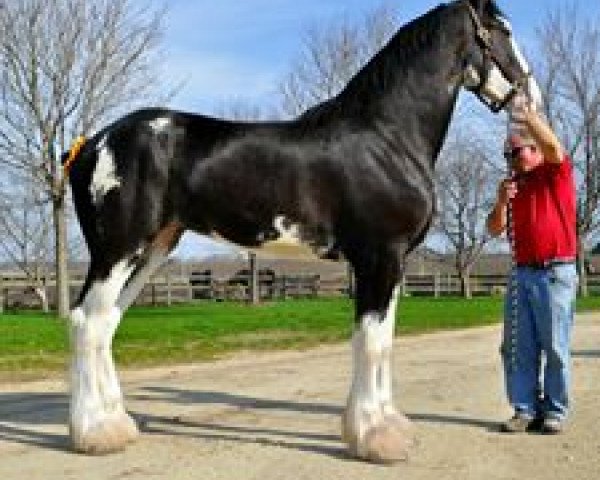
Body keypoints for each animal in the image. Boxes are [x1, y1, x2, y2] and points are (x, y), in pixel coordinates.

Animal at [64, 0, 540, 462]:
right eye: (502, 31)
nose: (531, 97)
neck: (385, 139)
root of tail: (93, 143)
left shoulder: (393, 262)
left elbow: (385, 342)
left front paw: (388, 428)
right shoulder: (379, 257)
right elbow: (371, 342)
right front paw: (374, 439)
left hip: (153, 248)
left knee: (106, 323)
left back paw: (116, 425)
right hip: (118, 250)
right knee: (87, 321)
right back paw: (95, 434)